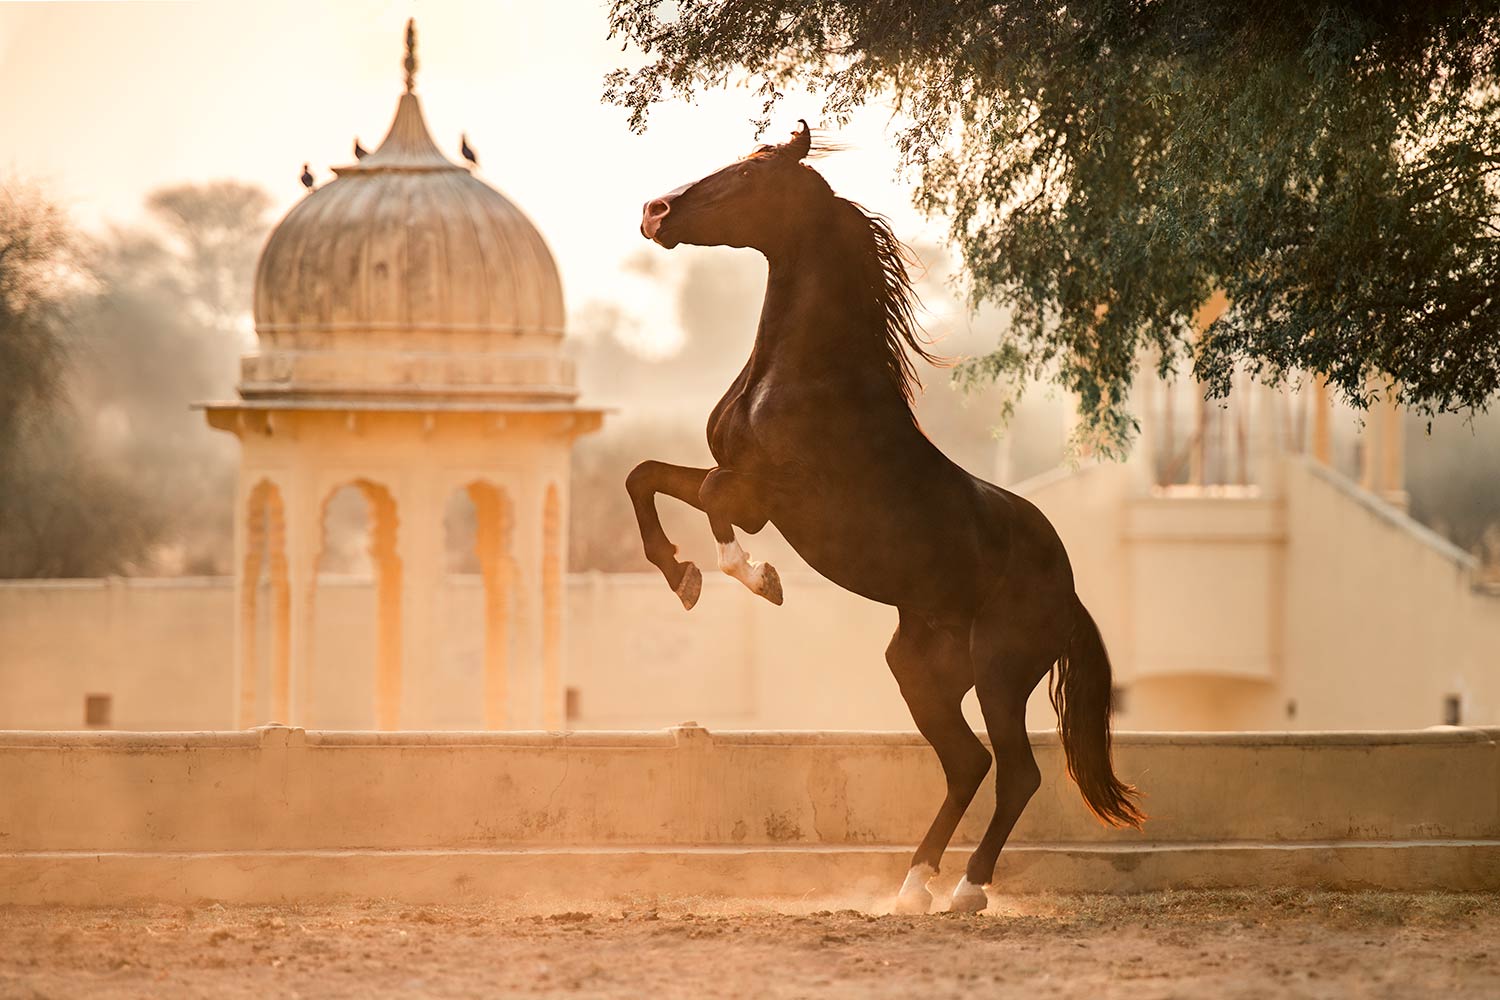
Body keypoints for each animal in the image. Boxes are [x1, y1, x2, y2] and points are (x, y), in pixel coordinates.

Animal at [627, 121, 1144, 914]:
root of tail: (1070, 594)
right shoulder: (738, 484)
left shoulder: (762, 496)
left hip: (999, 671)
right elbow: (645, 476)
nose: (656, 212)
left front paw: (757, 578)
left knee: (1014, 771)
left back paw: (964, 891)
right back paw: (912, 889)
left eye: (749, 177)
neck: (807, 376)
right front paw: (682, 577)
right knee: (966, 764)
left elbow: (708, 500)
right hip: (920, 670)